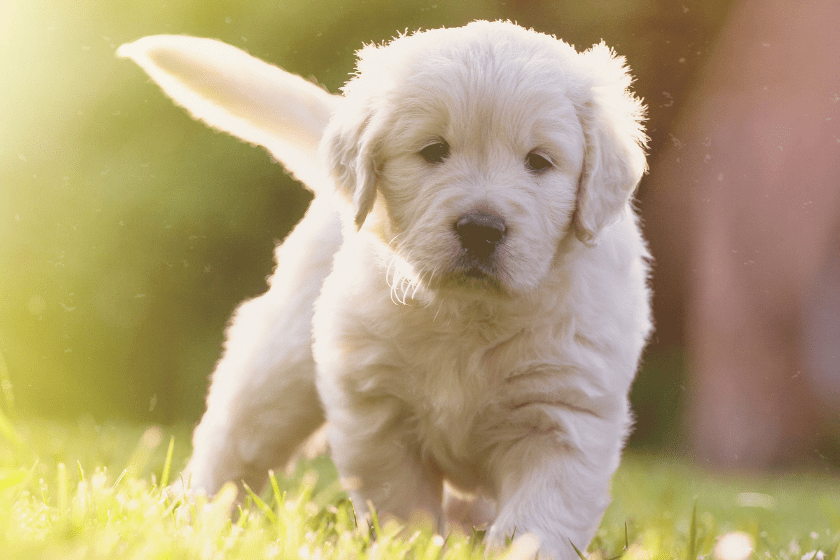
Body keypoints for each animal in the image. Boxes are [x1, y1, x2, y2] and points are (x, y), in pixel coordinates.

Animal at [121, 19, 652, 556]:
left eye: (540, 161)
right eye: (434, 151)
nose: (481, 228)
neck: (471, 315)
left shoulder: (563, 415)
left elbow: (537, 522)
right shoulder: (378, 410)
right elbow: (403, 507)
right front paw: (412, 547)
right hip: (280, 365)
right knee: (235, 443)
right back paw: (196, 518)